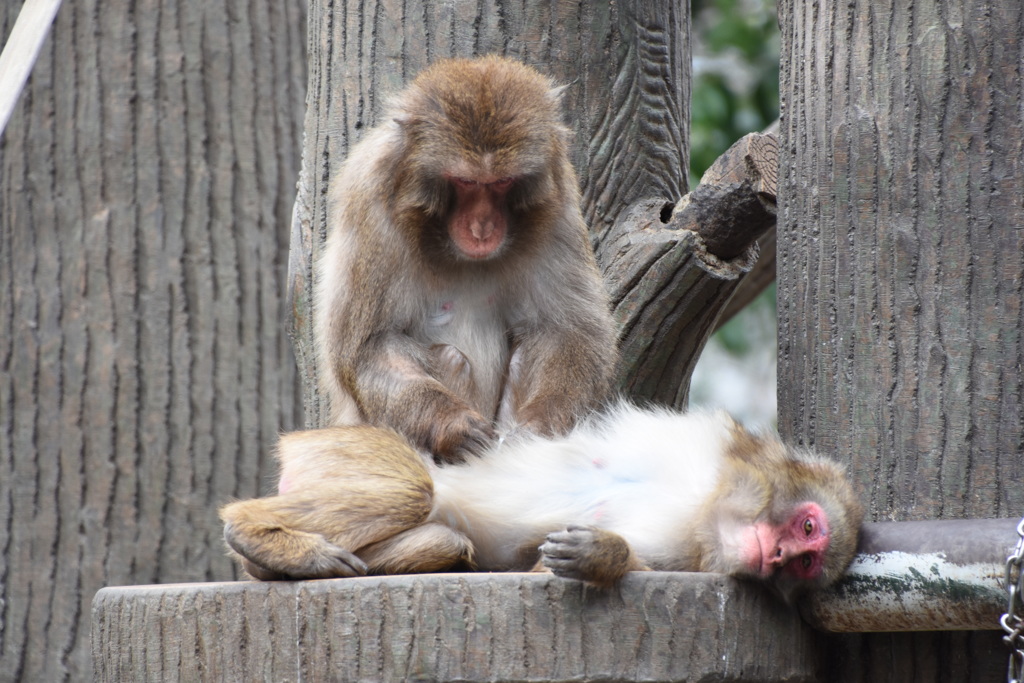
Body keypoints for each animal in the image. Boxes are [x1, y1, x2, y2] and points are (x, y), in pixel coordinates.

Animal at [222, 403, 864, 602]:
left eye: (805, 563)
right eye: (808, 528)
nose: (777, 557)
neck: (704, 504)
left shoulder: (692, 554)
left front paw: (601, 555)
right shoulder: (708, 443)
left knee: (446, 536)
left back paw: (272, 564)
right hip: (339, 446)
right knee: (418, 489)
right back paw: (255, 532)